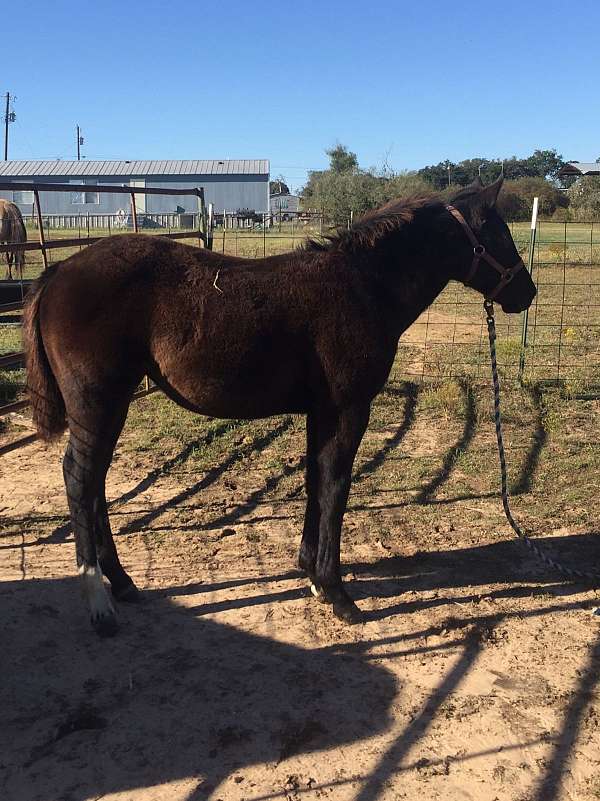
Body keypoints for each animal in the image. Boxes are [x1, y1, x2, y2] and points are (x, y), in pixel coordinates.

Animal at [22, 177, 536, 636]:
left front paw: (310, 573)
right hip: (97, 403)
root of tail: (58, 272)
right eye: (498, 234)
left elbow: (315, 480)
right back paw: (99, 602)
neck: (363, 286)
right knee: (80, 478)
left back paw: (124, 583)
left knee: (94, 484)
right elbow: (335, 486)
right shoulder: (349, 409)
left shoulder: (321, 411)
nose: (526, 292)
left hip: (111, 405)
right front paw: (336, 592)